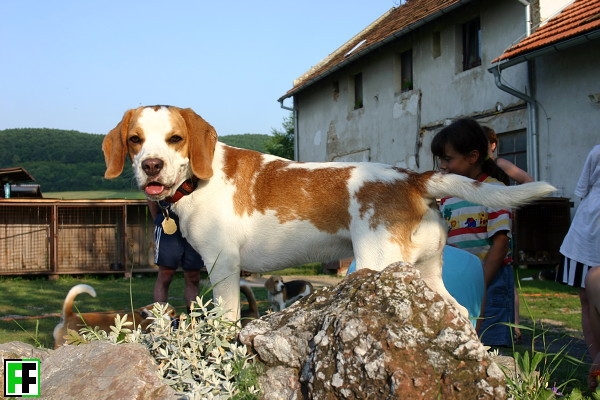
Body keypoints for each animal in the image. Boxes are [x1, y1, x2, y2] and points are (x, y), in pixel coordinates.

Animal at [102, 105, 552, 322]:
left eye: (175, 138)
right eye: (135, 139)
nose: (152, 166)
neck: (198, 178)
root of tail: (414, 178)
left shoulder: (224, 268)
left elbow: (225, 320)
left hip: (376, 266)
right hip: (426, 274)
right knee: (457, 311)